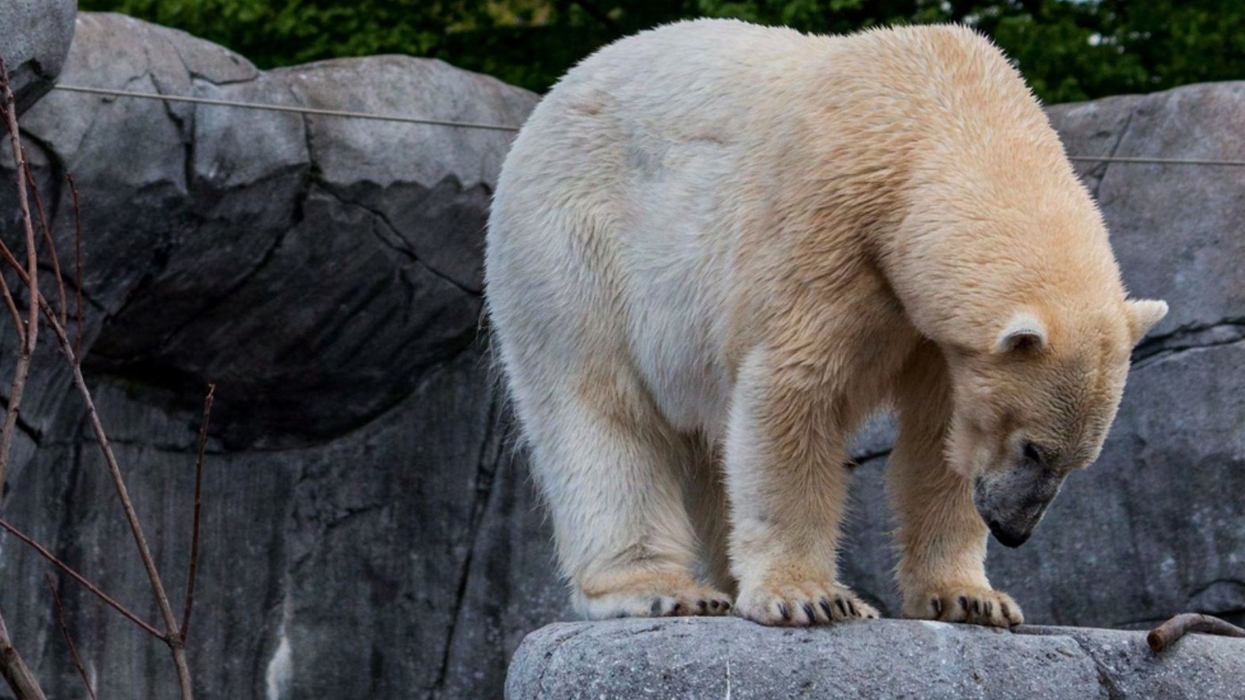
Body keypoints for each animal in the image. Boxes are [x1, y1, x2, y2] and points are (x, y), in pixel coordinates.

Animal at [484, 19, 1167, 627]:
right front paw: (809, 597)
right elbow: (792, 391)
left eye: (1077, 462)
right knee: (598, 405)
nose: (1013, 530)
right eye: (1032, 448)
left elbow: (940, 434)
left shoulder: (929, 326)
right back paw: (661, 588)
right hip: (571, 244)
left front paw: (973, 599)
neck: (937, 107)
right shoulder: (826, 225)